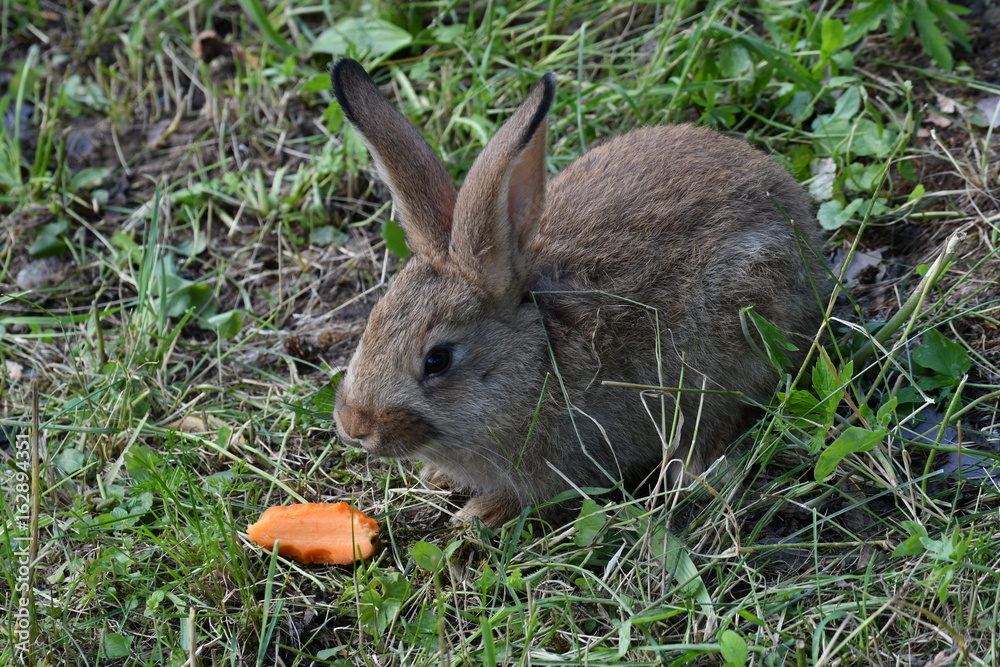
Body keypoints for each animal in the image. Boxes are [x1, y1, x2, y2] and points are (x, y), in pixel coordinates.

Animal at [330, 58, 828, 528]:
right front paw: (436, 477)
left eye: (437, 360)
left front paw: (480, 515)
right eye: (370, 325)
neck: (536, 361)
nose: (354, 428)